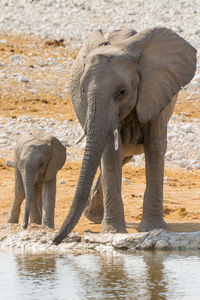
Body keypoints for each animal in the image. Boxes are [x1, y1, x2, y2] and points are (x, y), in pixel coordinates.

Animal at [52, 27, 196, 245]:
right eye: (83, 91)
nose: (54, 240)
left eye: (122, 92)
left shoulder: (156, 92)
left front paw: (153, 228)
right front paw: (113, 231)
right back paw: (95, 217)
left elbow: (155, 148)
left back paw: (94, 216)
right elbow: (110, 152)